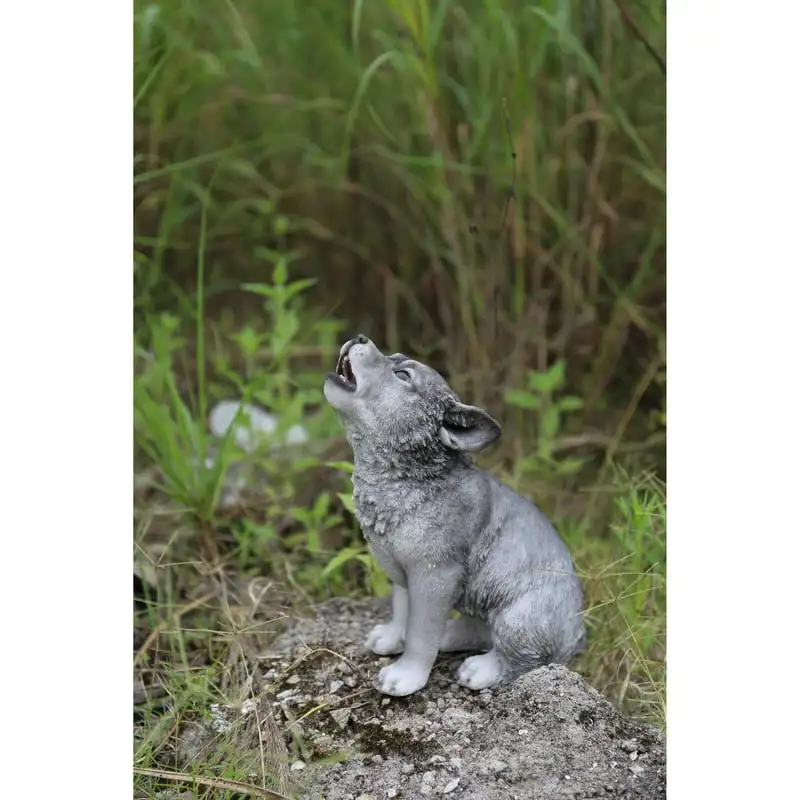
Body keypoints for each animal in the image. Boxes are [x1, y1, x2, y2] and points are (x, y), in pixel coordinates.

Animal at [323, 334, 586, 697]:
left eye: (402, 375)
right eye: (394, 357)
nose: (360, 337)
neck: (408, 478)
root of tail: (577, 640)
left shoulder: (435, 576)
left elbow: (420, 633)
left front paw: (405, 676)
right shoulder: (403, 576)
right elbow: (403, 613)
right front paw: (391, 639)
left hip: (519, 617)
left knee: (520, 660)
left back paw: (481, 670)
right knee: (480, 630)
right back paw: (449, 635)